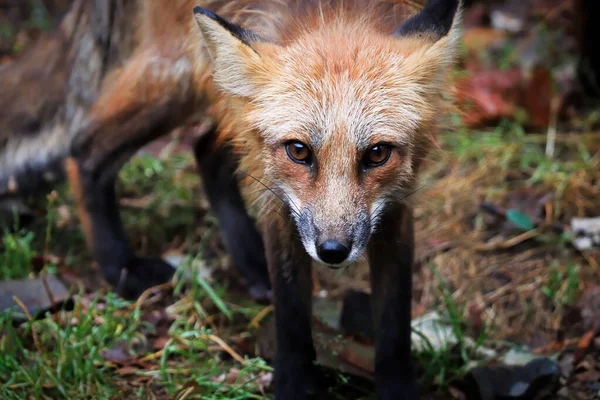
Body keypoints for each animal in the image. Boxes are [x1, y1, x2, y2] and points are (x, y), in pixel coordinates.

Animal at [2, 0, 462, 396]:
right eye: (299, 151)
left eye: (377, 154)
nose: (333, 251)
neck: (336, 14)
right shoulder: (281, 198)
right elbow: (291, 313)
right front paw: (295, 387)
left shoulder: (396, 204)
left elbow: (394, 321)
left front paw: (397, 388)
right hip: (177, 75)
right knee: (84, 150)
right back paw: (120, 266)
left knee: (205, 150)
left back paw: (248, 261)